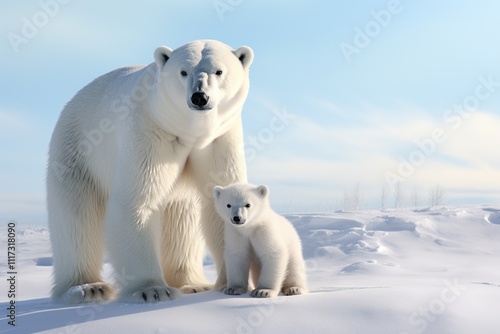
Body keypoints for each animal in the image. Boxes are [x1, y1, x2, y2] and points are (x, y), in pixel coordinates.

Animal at [47, 39, 254, 302]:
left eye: (218, 71)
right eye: (183, 71)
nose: (199, 96)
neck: (190, 133)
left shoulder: (219, 140)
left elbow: (221, 202)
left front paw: (235, 283)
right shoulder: (150, 133)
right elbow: (136, 202)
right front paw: (152, 290)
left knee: (182, 218)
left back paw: (192, 284)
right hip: (77, 153)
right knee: (76, 219)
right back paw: (88, 287)